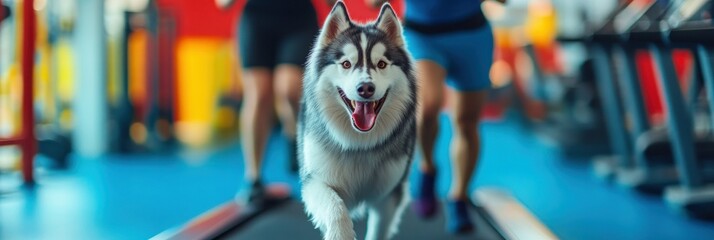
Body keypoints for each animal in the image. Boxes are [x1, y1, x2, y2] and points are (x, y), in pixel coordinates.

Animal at [296, 1, 418, 240]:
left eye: (381, 64)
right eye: (345, 64)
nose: (365, 88)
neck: (359, 145)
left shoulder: (389, 197)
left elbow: (378, 231)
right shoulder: (315, 180)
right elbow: (335, 209)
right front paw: (339, 233)